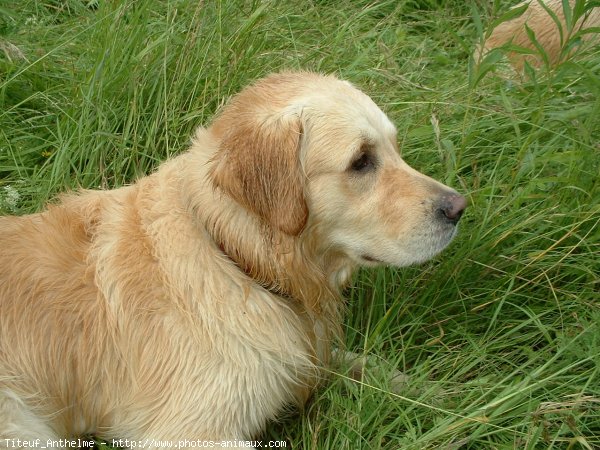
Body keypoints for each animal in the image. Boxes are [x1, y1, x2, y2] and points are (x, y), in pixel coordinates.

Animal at [0, 71, 466, 446]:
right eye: (361, 161)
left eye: (394, 148)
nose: (459, 208)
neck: (235, 256)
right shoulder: (189, 430)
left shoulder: (305, 351)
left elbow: (362, 362)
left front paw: (438, 390)